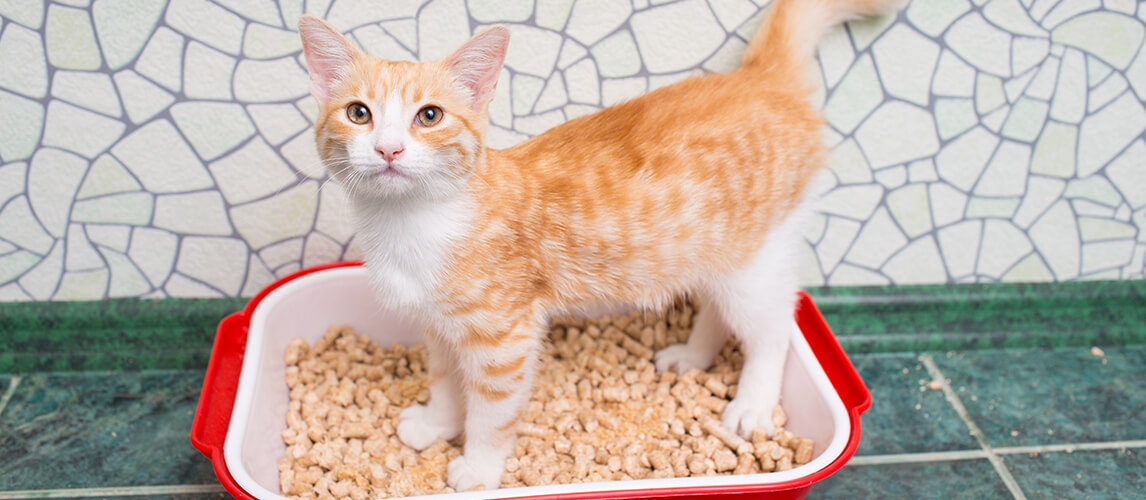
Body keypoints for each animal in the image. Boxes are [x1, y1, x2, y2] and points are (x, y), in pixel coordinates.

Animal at [300, 0, 907, 490]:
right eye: (359, 113)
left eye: (429, 116)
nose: (389, 150)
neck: (412, 223)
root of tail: (759, 80)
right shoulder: (438, 325)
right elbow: (447, 380)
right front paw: (437, 421)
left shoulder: (504, 337)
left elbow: (493, 413)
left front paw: (478, 467)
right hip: (708, 250)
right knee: (718, 305)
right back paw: (693, 356)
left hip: (754, 258)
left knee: (776, 324)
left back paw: (752, 404)